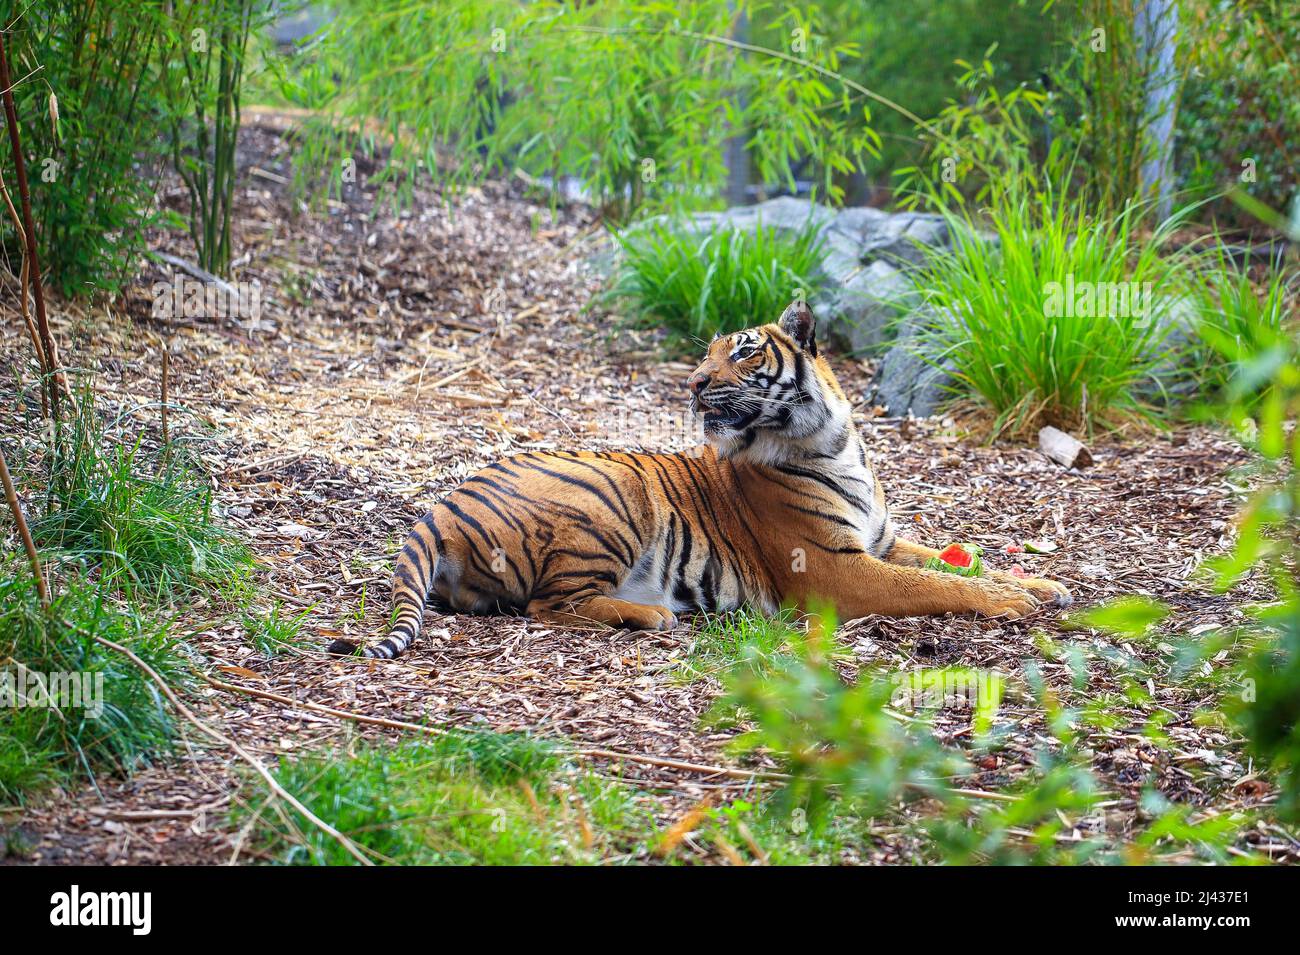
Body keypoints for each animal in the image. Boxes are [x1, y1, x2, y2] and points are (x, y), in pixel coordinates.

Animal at [327, 302, 1076, 660]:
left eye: (741, 352)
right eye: (707, 353)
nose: (691, 382)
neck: (834, 442)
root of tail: (441, 504)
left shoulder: (882, 540)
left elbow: (954, 558)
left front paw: (1045, 584)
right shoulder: (835, 568)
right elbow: (938, 585)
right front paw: (1012, 600)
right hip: (615, 500)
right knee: (550, 606)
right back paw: (652, 614)